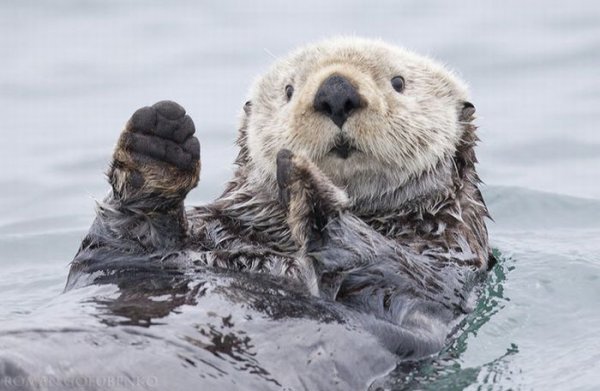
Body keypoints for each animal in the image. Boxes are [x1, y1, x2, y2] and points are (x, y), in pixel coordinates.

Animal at [67, 37, 492, 362]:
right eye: (288, 90)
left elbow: (395, 268)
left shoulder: (445, 266)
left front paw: (309, 187)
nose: (336, 91)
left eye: (399, 82)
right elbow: (119, 243)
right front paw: (158, 141)